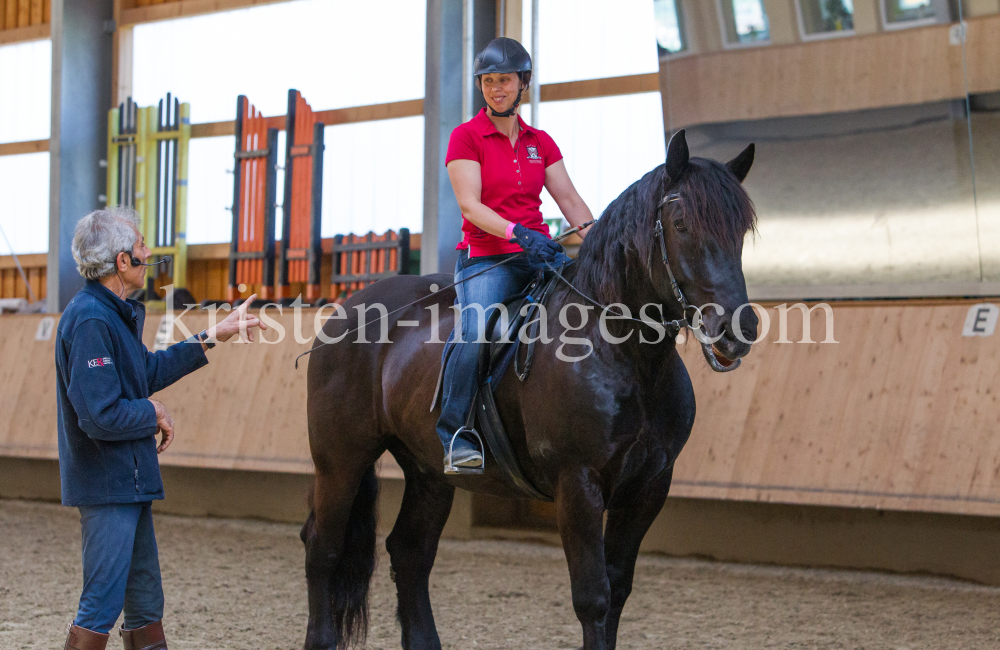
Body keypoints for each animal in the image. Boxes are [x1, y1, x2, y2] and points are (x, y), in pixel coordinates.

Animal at [300, 129, 752, 644]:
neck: (625, 355)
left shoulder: (648, 487)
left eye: (740, 231)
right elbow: (593, 598)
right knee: (323, 548)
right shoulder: (578, 484)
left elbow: (617, 590)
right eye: (681, 224)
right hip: (341, 459)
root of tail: (349, 307)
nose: (738, 330)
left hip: (428, 470)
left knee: (410, 552)